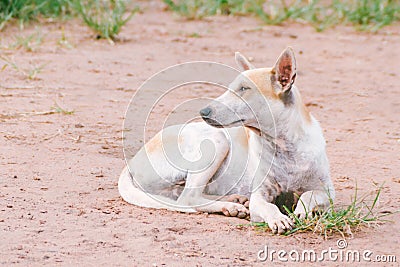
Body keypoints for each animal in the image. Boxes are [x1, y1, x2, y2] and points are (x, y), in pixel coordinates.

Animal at [119, 48, 334, 234]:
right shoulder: (259, 197)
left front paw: (302, 210)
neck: (283, 145)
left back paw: (234, 200)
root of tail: (132, 162)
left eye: (244, 89)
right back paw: (229, 206)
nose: (203, 112)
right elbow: (269, 207)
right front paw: (278, 218)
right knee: (188, 198)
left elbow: (309, 194)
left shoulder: (328, 192)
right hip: (217, 141)